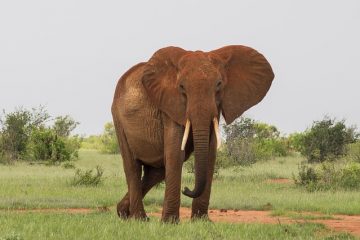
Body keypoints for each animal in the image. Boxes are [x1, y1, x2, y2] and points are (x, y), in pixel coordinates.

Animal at [111, 44, 274, 221]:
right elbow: (176, 153)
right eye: (182, 87)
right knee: (132, 167)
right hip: (118, 119)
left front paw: (201, 221)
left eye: (219, 84)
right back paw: (139, 219)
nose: (186, 189)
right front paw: (169, 222)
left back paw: (123, 213)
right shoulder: (170, 106)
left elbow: (209, 153)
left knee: (156, 172)